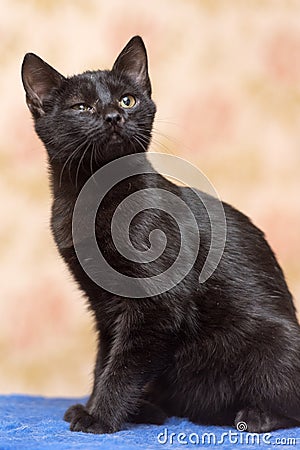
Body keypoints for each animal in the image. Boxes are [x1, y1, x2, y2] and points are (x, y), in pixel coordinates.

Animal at [21, 37, 300, 434]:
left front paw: (99, 417)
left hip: (275, 341)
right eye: (82, 107)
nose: (113, 116)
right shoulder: (104, 307)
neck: (91, 196)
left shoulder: (157, 305)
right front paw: (94, 406)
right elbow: (105, 359)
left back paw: (253, 416)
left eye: (127, 100)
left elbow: (123, 365)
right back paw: (151, 410)